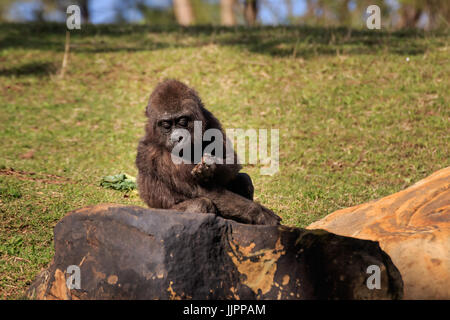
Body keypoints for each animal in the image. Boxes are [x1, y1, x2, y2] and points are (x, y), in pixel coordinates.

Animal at [135, 80, 280, 225]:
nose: (177, 138)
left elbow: (230, 159)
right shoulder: (159, 154)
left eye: (182, 121)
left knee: (243, 179)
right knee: (201, 204)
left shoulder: (208, 117)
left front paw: (210, 166)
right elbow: (202, 191)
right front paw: (260, 213)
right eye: (166, 125)